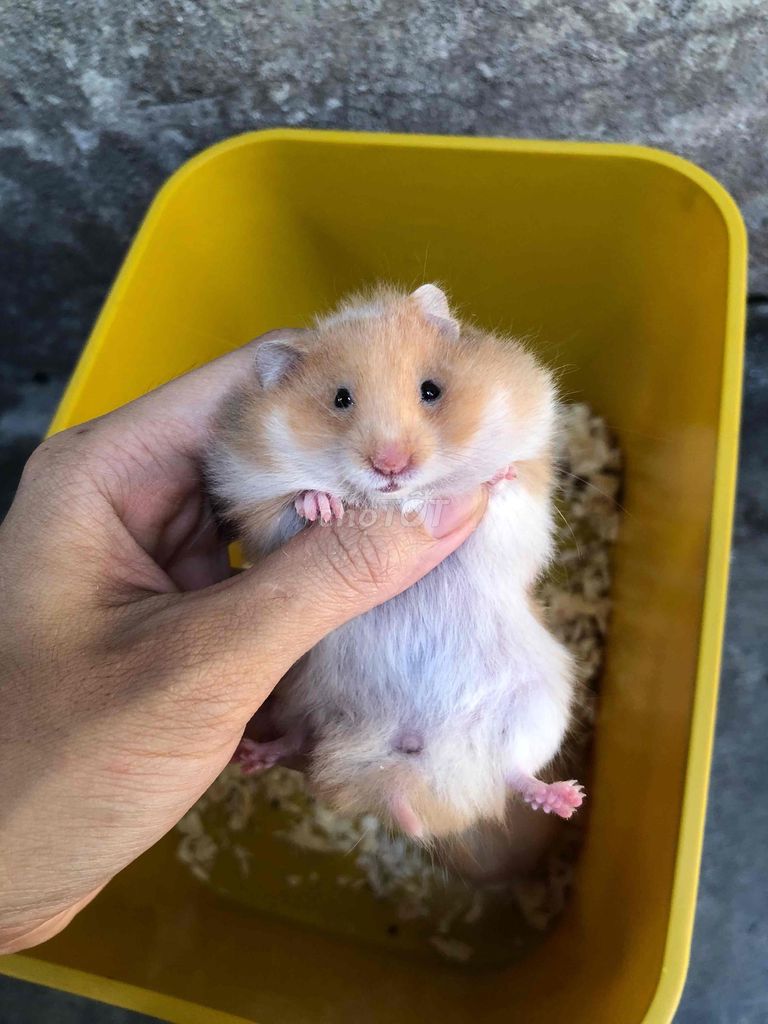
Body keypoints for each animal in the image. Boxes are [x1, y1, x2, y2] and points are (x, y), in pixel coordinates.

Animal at [206, 284, 584, 840]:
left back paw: (565, 798)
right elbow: (289, 509)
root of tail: (418, 748)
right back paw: (255, 755)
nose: (391, 466)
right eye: (340, 399)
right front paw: (323, 505)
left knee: (513, 771)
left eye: (431, 390)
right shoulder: (256, 503)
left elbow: (505, 495)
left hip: (539, 706)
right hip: (300, 693)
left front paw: (491, 479)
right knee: (299, 739)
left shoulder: (524, 505)